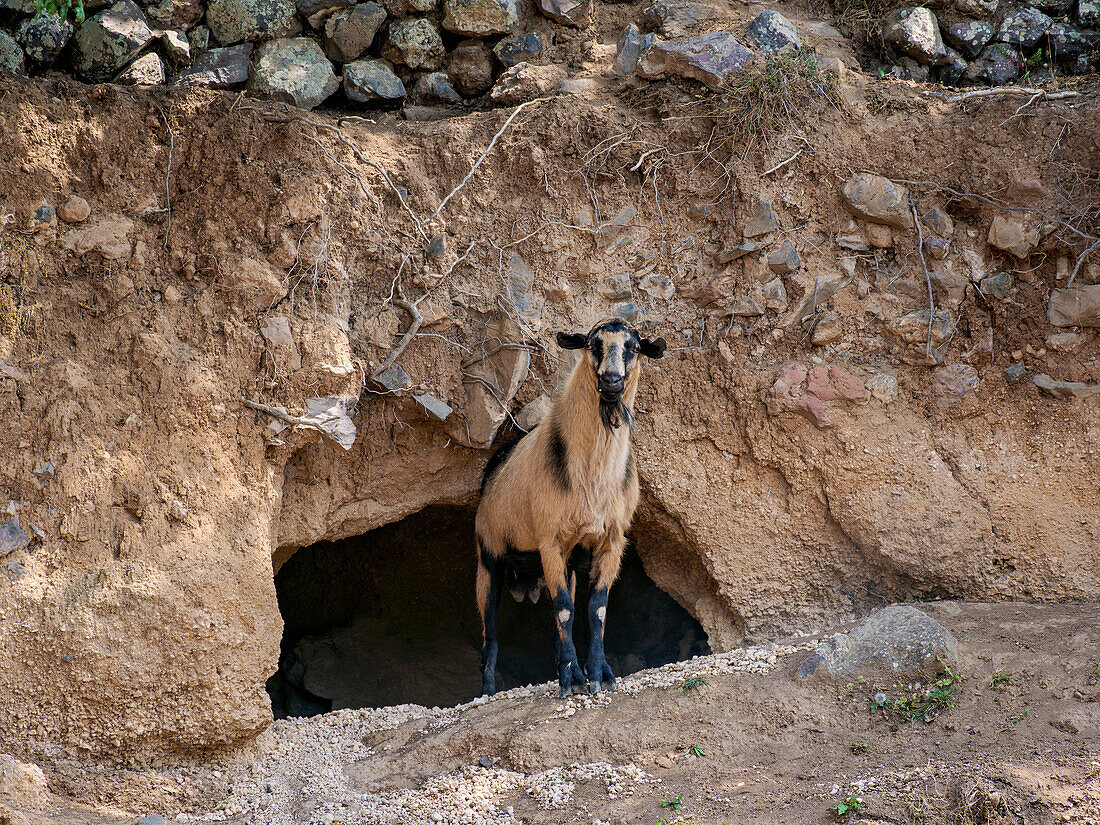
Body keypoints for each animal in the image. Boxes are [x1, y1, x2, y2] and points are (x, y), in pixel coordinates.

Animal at [470, 316, 660, 699]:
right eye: (592, 344)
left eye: (633, 347)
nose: (611, 380)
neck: (592, 477)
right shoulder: (550, 541)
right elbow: (563, 611)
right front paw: (573, 679)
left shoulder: (610, 540)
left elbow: (595, 609)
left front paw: (599, 674)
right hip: (489, 555)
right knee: (490, 631)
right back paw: (488, 691)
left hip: (565, 565)